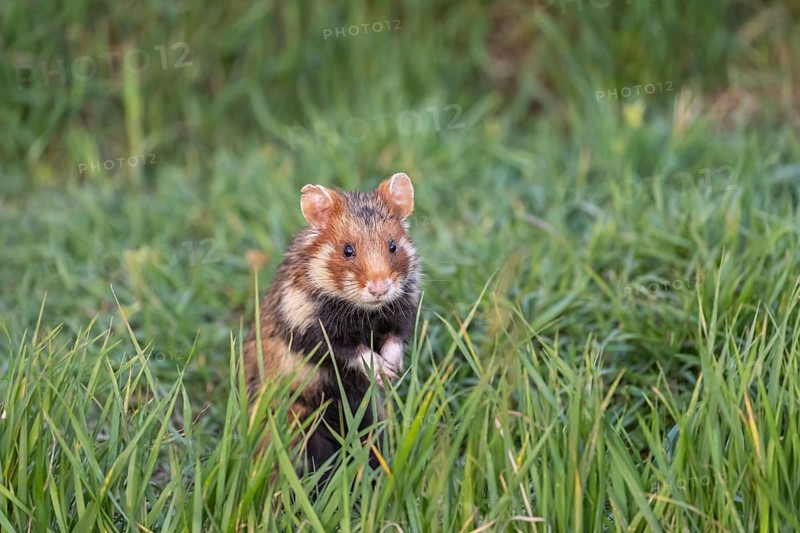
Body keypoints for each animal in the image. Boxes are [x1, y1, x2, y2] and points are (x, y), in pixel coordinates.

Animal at [243, 172, 421, 479]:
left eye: (393, 245)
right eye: (347, 250)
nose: (379, 289)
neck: (364, 312)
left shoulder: (403, 310)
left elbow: (396, 337)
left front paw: (392, 371)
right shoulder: (310, 328)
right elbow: (351, 351)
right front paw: (381, 371)